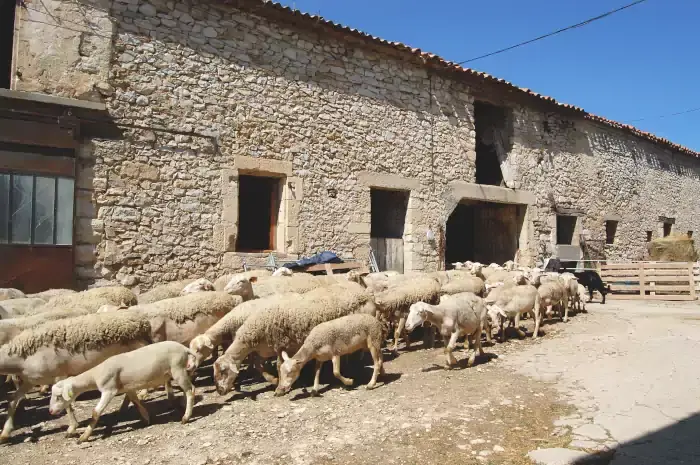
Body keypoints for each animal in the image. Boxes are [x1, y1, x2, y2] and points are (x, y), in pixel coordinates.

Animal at [0, 310, 152, 440]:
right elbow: (12, 401)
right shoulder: (30, 381)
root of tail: (143, 322)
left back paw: (143, 395)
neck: (20, 359)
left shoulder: (59, 375)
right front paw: (5, 433)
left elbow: (67, 404)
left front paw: (72, 428)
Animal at [49, 340, 197, 442]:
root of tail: (184, 348)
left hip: (177, 369)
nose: (50, 411)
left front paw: (83, 437)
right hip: (179, 370)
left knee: (190, 390)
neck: (95, 375)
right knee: (189, 389)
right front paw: (146, 418)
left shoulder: (109, 390)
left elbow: (96, 412)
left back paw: (186, 417)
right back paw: (184, 407)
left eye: (58, 396)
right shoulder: (128, 388)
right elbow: (136, 402)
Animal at [215, 280, 374, 394]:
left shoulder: (282, 345)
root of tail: (361, 290)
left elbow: (278, 365)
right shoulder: (269, 348)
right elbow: (258, 364)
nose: (220, 391)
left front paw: (278, 385)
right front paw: (273, 380)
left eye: (223, 371)